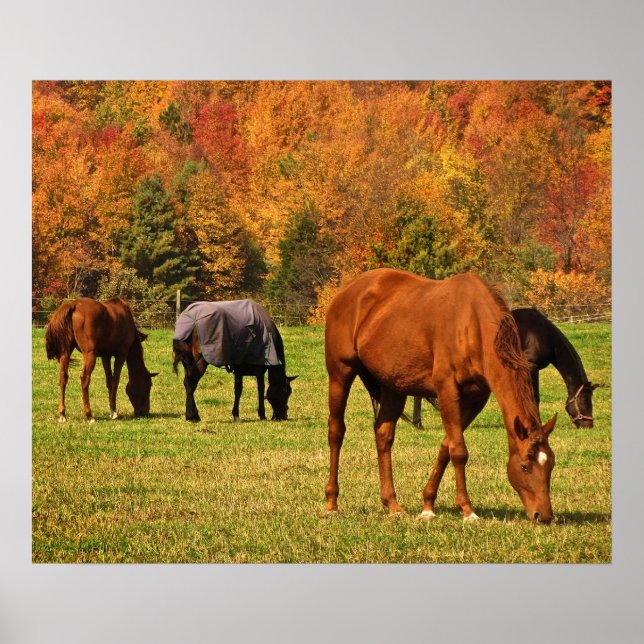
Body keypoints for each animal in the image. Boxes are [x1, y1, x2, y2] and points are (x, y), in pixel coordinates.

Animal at [324, 268, 558, 523]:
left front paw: (428, 505)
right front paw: (467, 510)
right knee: (336, 432)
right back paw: (332, 503)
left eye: (551, 465)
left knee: (383, 435)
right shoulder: (447, 390)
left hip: (393, 387)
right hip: (340, 374)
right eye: (525, 466)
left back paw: (392, 504)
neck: (471, 325)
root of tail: (347, 290)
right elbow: (459, 451)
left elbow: (447, 446)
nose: (543, 515)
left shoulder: (476, 399)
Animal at [411, 307, 599, 429]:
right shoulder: (531, 367)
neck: (542, 333)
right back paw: (419, 423)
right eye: (585, 400)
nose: (588, 425)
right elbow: (534, 396)